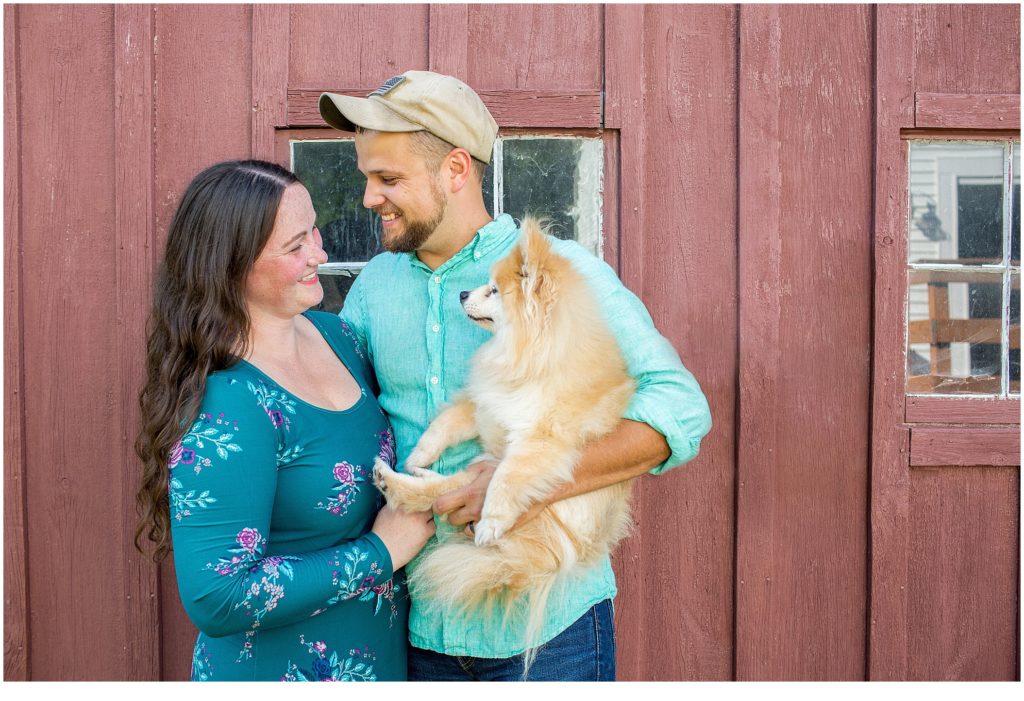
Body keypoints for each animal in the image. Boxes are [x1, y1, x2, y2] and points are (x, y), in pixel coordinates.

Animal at [372, 215, 634, 654]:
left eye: (492, 290)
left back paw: (399, 484)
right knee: (439, 489)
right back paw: (409, 475)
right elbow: (446, 423)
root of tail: (545, 561)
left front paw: (491, 521)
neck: (528, 355)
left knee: (449, 491)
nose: (462, 293)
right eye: (483, 285)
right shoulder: (486, 403)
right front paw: (421, 454)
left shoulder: (540, 442)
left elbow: (508, 479)